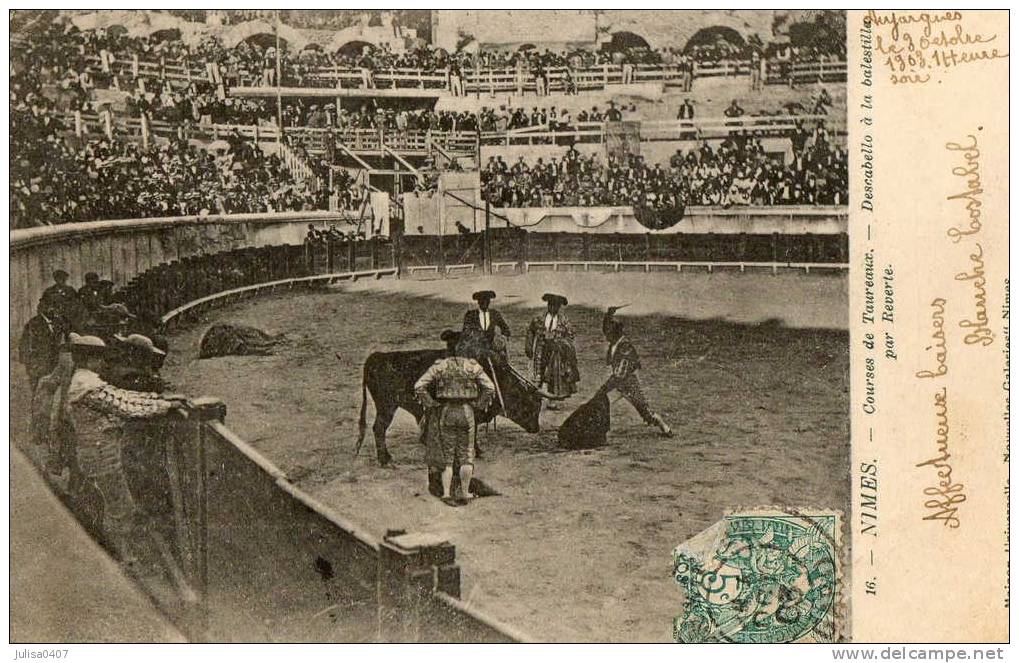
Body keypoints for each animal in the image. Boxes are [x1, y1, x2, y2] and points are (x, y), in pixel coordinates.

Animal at [354, 350, 546, 464]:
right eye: (530, 405)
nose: (536, 429)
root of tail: (377, 356)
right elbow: (472, 433)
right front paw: (476, 452)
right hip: (387, 406)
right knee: (379, 428)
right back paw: (384, 459)